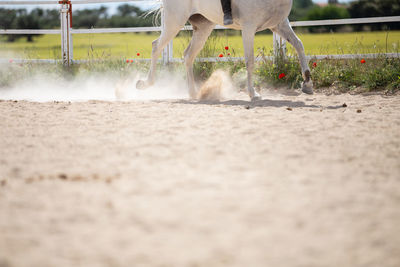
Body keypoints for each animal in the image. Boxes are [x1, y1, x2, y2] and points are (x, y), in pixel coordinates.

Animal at [136, 0, 314, 100]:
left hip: (203, 27)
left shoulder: (279, 24)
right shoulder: (249, 27)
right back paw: (144, 84)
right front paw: (253, 94)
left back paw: (193, 93)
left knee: (188, 56)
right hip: (175, 22)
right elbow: (250, 61)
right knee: (156, 46)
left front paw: (307, 84)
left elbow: (299, 45)